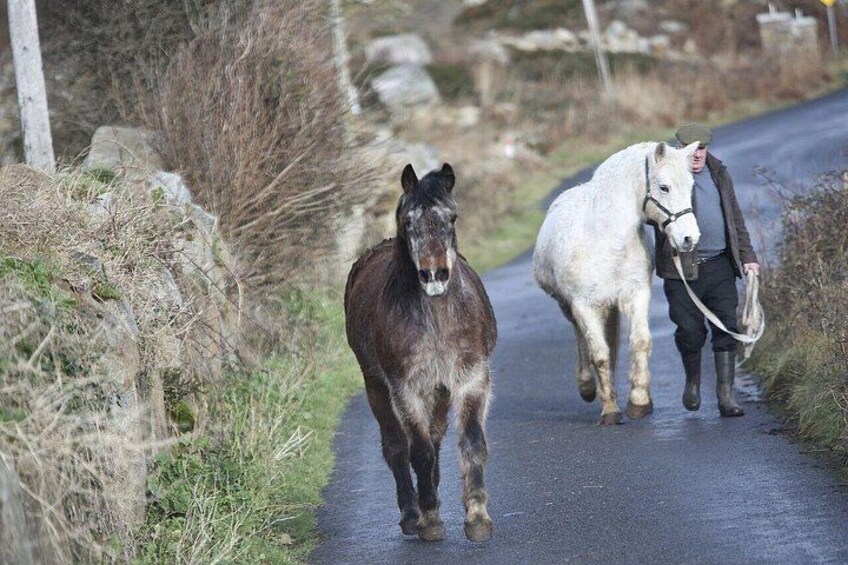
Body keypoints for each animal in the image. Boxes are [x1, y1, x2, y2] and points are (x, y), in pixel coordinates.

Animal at [344, 163, 497, 542]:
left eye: (452, 217)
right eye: (408, 221)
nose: (434, 275)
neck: (437, 318)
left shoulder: (471, 380)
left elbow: (471, 442)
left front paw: (477, 517)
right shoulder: (406, 389)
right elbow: (420, 451)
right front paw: (430, 520)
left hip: (440, 390)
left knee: (437, 434)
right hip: (376, 386)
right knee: (397, 446)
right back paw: (412, 514)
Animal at [533, 141, 700, 425]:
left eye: (690, 186)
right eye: (664, 187)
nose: (689, 238)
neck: (607, 238)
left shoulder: (636, 295)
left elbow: (639, 342)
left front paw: (639, 402)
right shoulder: (584, 305)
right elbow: (599, 354)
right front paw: (610, 410)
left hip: (609, 306)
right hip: (571, 306)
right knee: (582, 339)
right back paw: (588, 387)